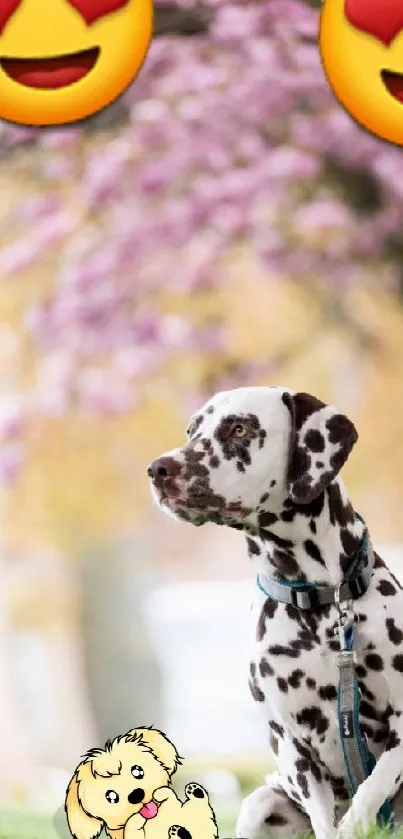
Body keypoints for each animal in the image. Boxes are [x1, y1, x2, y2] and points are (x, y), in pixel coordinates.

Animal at [148, 388, 403, 839]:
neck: (320, 605)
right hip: (260, 804)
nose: (158, 469)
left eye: (239, 428)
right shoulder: (291, 745)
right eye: (192, 431)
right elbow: (326, 821)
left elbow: (370, 790)